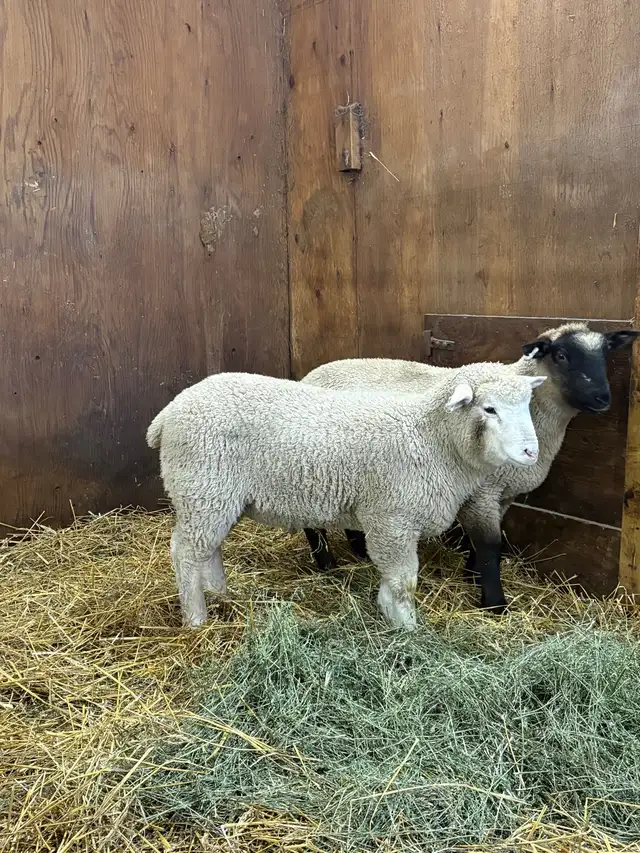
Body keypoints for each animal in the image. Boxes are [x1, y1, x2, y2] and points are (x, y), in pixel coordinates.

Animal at [146, 367, 544, 629]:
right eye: (489, 409)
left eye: (528, 403)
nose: (531, 452)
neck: (429, 437)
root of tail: (167, 414)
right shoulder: (391, 519)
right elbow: (403, 582)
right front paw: (407, 628)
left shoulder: (390, 523)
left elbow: (393, 579)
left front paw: (389, 613)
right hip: (202, 488)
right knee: (184, 552)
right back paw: (196, 617)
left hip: (216, 498)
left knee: (208, 548)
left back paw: (220, 593)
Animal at [300, 323, 640, 613]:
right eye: (561, 355)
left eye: (606, 353)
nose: (602, 398)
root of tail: (311, 375)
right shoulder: (483, 491)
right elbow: (491, 544)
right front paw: (494, 602)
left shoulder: (503, 492)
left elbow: (489, 541)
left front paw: (472, 575)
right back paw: (326, 562)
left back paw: (358, 550)